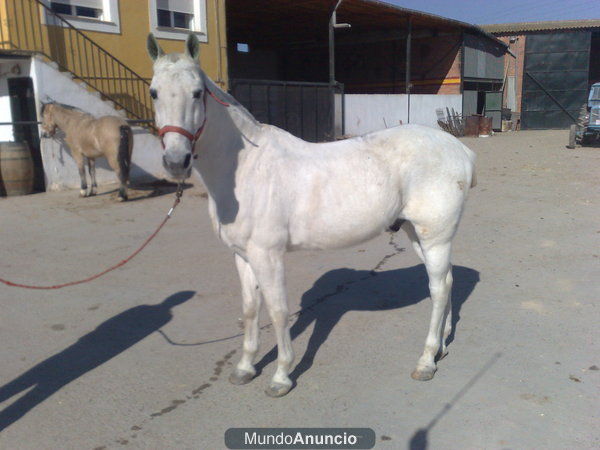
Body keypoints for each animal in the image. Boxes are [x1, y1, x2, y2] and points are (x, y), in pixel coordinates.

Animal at [149, 35, 478, 398]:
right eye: (154, 92)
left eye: (196, 92)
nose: (175, 161)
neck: (248, 167)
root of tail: (461, 150)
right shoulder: (243, 256)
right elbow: (250, 310)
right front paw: (245, 368)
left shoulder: (268, 255)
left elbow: (278, 311)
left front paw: (281, 376)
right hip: (415, 234)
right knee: (447, 282)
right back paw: (441, 348)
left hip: (435, 237)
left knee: (437, 288)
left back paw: (426, 361)